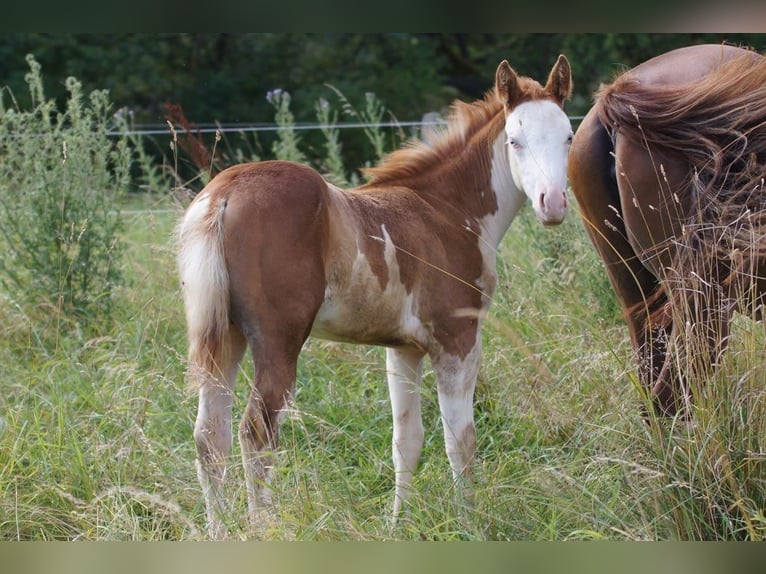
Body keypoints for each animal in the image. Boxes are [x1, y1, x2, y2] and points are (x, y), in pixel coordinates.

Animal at [178, 56, 576, 536]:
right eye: (515, 141)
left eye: (568, 136)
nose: (552, 203)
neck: (447, 212)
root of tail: (224, 192)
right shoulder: (458, 341)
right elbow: (460, 441)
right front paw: (470, 524)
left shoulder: (403, 349)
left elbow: (406, 440)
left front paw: (397, 524)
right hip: (277, 342)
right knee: (256, 431)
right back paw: (263, 528)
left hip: (226, 336)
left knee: (210, 436)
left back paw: (220, 530)